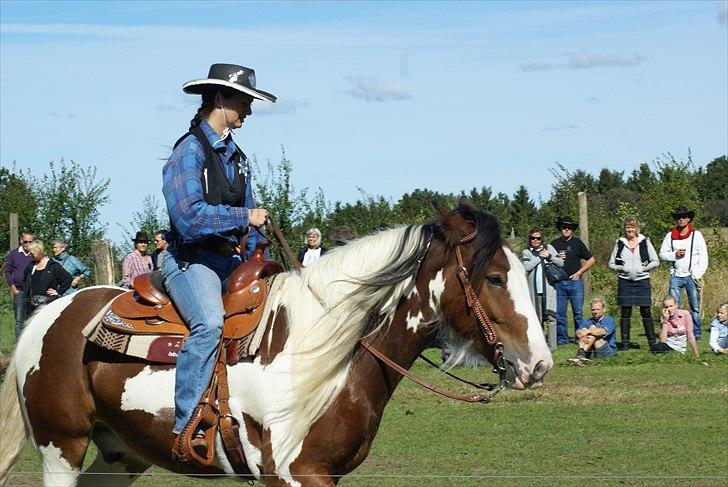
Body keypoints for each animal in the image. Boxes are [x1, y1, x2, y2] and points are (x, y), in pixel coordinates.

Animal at [0, 204, 552, 486]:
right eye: (495, 277)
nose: (539, 363)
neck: (324, 352)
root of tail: (50, 313)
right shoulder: (297, 474)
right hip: (61, 448)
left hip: (122, 453)